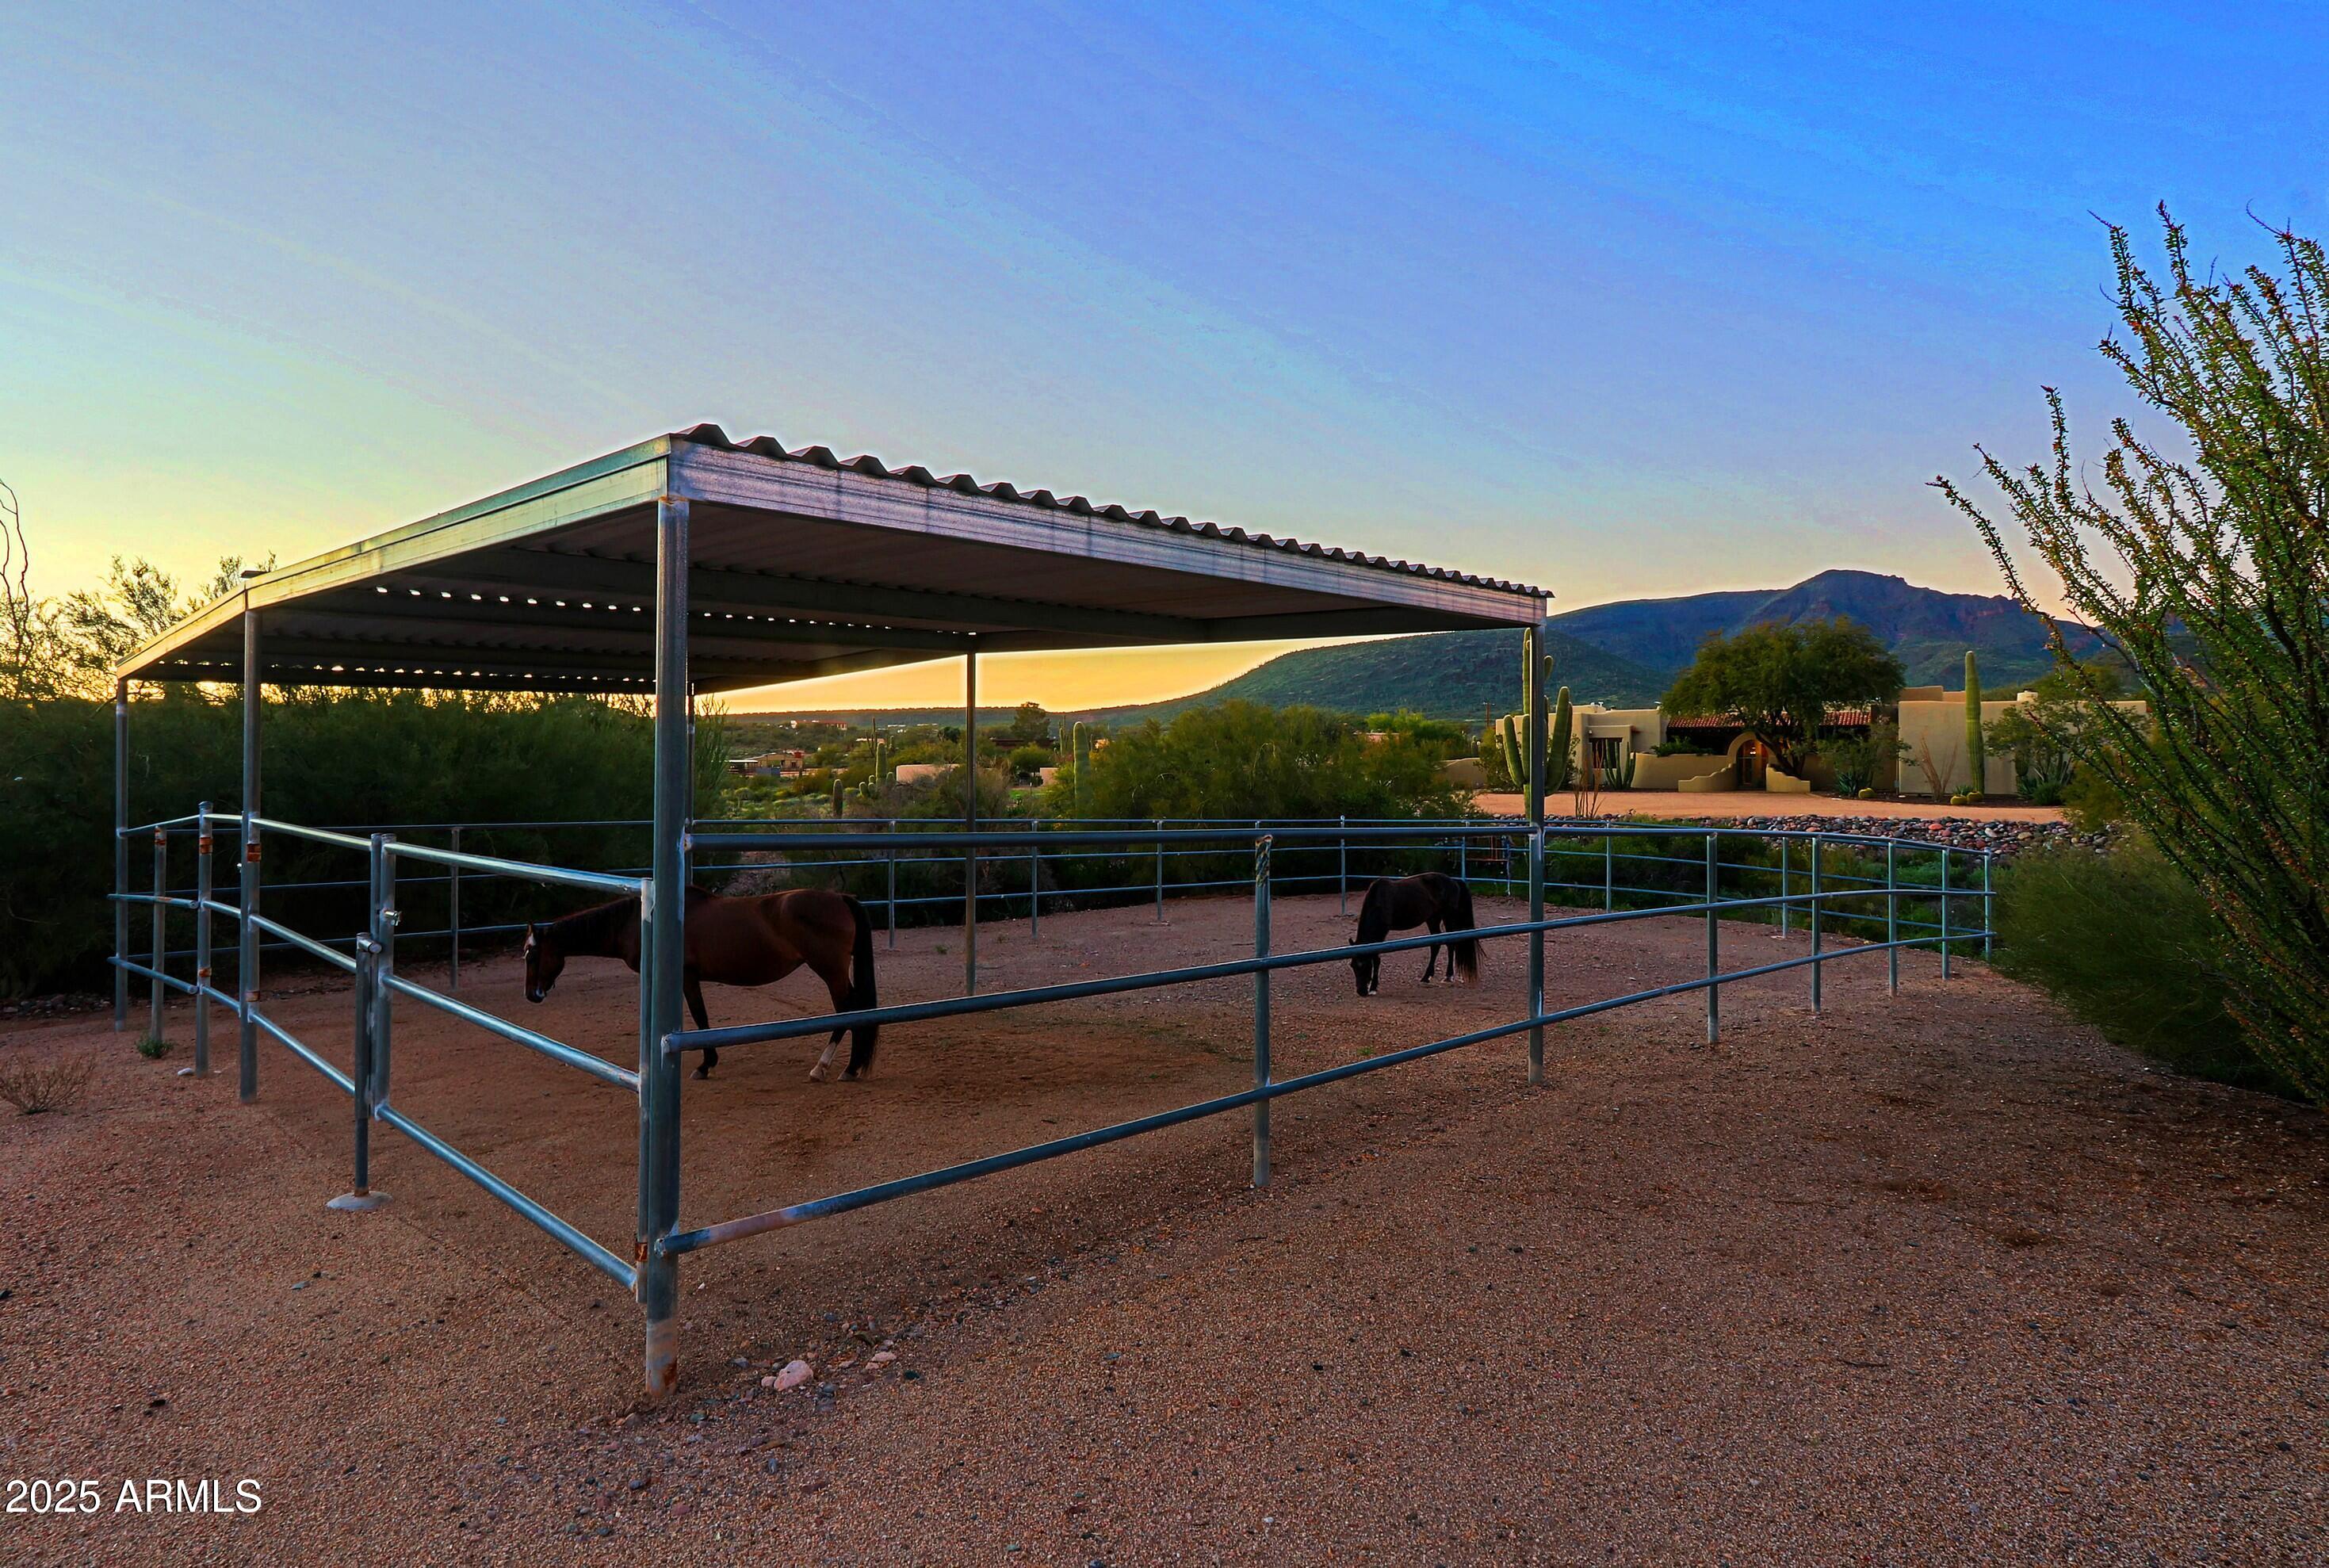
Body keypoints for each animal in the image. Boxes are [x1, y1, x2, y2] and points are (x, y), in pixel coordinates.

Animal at [524, 885, 877, 1082]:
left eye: (532, 955)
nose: (531, 995)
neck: (647, 923)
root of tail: (840, 898)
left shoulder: (688, 977)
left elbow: (700, 1018)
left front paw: (706, 1065)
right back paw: (850, 1067)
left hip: (830, 972)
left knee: (849, 1013)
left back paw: (829, 1067)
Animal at [1350, 871, 1478, 996]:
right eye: (1353, 966)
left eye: (1365, 965)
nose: (1361, 991)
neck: (1379, 900)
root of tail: (1453, 881)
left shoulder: (1382, 931)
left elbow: (1376, 958)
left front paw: (1373, 988)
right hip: (1433, 919)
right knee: (1436, 945)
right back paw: (1426, 977)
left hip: (1448, 916)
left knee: (1450, 943)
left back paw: (1449, 976)